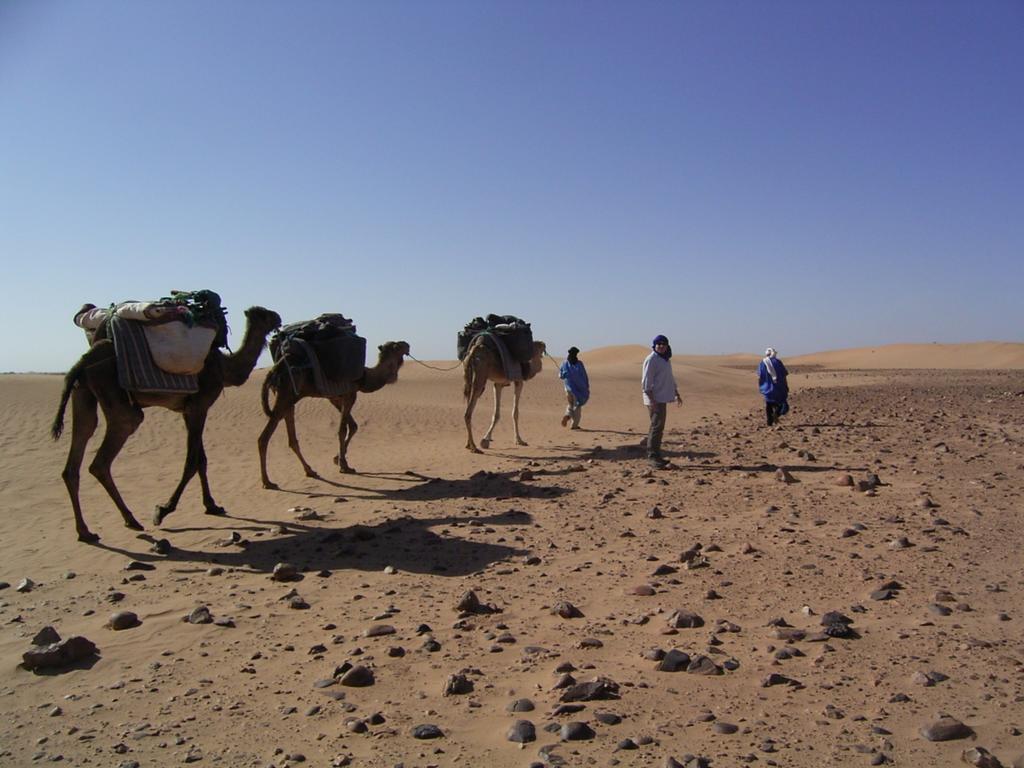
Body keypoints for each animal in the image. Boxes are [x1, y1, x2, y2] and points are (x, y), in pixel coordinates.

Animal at [50, 309, 282, 548]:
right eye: (265, 315)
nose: (278, 318)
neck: (224, 368)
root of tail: (82, 361)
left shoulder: (188, 411)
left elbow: (201, 460)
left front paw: (212, 505)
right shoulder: (199, 406)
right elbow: (191, 462)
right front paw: (162, 511)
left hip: (83, 392)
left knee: (79, 446)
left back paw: (86, 531)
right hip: (113, 393)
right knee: (105, 454)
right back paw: (131, 519)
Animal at [258, 337, 409, 487]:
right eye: (397, 346)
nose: (407, 344)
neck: (365, 377)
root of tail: (274, 369)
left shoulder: (335, 398)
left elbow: (353, 426)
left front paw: (337, 458)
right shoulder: (350, 394)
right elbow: (342, 429)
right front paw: (344, 466)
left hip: (290, 398)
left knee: (292, 438)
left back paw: (310, 471)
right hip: (285, 393)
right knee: (264, 437)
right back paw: (267, 482)